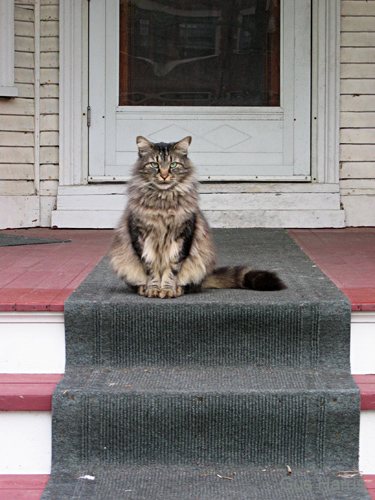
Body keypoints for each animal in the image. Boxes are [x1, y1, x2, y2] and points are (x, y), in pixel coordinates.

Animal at [108, 135, 284, 296]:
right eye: (154, 164)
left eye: (173, 165)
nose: (164, 175)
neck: (163, 203)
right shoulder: (141, 236)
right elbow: (151, 270)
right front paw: (153, 289)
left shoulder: (182, 236)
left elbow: (171, 270)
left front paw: (168, 290)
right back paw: (142, 288)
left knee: (191, 285)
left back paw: (179, 289)